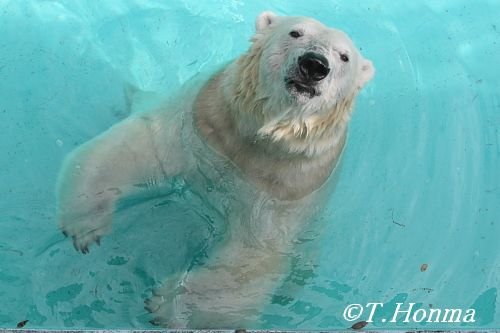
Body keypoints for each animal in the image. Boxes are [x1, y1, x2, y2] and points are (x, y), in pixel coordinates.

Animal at [56, 12, 374, 326]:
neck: (256, 141)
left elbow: (253, 256)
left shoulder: (287, 186)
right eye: (295, 32)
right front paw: (85, 225)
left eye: (345, 57)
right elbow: (134, 149)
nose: (314, 64)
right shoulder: (201, 126)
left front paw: (170, 305)